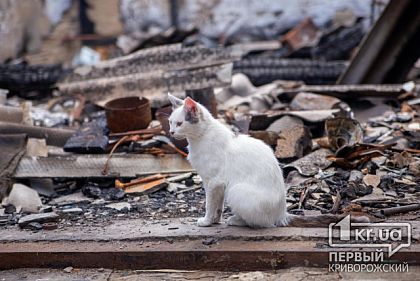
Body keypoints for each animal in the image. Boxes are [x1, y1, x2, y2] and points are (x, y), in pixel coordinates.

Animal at [167, 93, 368, 226]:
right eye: (170, 122)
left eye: (180, 123)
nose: (170, 132)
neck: (199, 138)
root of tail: (282, 213)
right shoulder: (217, 184)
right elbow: (218, 206)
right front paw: (215, 220)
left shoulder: (214, 182)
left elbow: (211, 204)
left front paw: (207, 221)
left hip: (237, 190)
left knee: (260, 223)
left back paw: (237, 221)